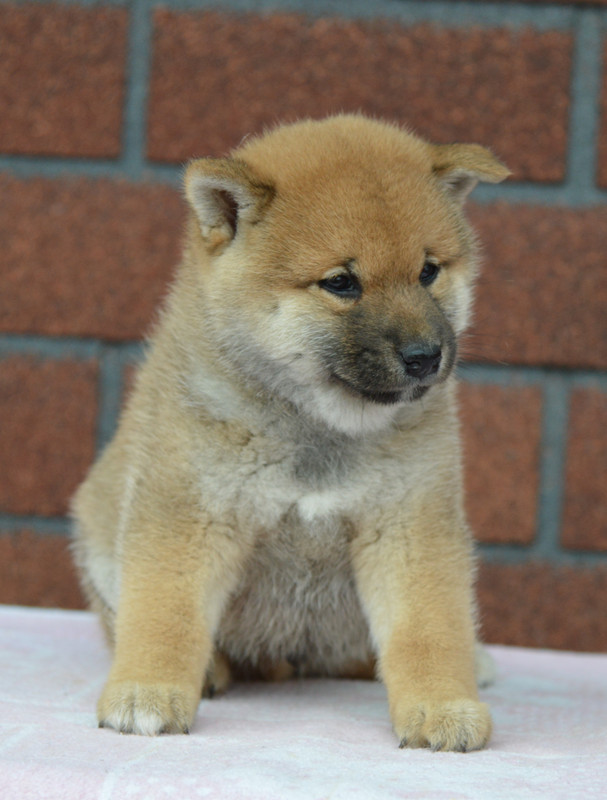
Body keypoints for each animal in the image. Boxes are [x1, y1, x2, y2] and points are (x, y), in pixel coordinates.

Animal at [70, 112, 508, 752]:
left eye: (429, 272)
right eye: (342, 283)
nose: (426, 356)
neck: (317, 428)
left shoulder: (408, 525)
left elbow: (428, 629)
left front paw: (443, 705)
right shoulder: (189, 514)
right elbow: (165, 615)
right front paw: (146, 693)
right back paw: (210, 671)